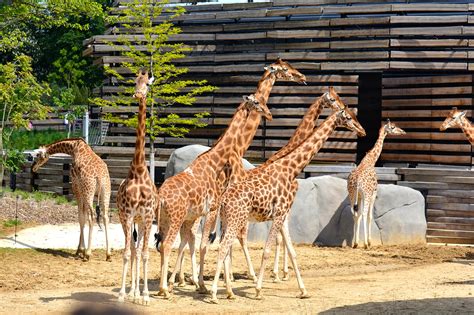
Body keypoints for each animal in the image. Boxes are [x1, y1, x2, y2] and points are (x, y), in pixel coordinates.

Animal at [207, 91, 366, 304]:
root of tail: (224, 199)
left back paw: (229, 291)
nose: (362, 131)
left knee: (224, 247)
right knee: (223, 246)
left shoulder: (281, 215)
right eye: (348, 117)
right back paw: (214, 293)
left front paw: (303, 290)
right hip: (235, 219)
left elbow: (292, 250)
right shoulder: (280, 212)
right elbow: (268, 249)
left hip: (226, 220)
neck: (292, 168)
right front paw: (259, 289)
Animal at [346, 119, 406, 251]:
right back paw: (365, 244)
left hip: (352, 194)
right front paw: (369, 242)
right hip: (366, 195)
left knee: (354, 214)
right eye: (393, 127)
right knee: (364, 214)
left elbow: (358, 215)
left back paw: (355, 244)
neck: (370, 161)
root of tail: (356, 181)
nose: (403, 132)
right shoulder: (373, 194)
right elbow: (369, 216)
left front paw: (356, 242)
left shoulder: (359, 196)